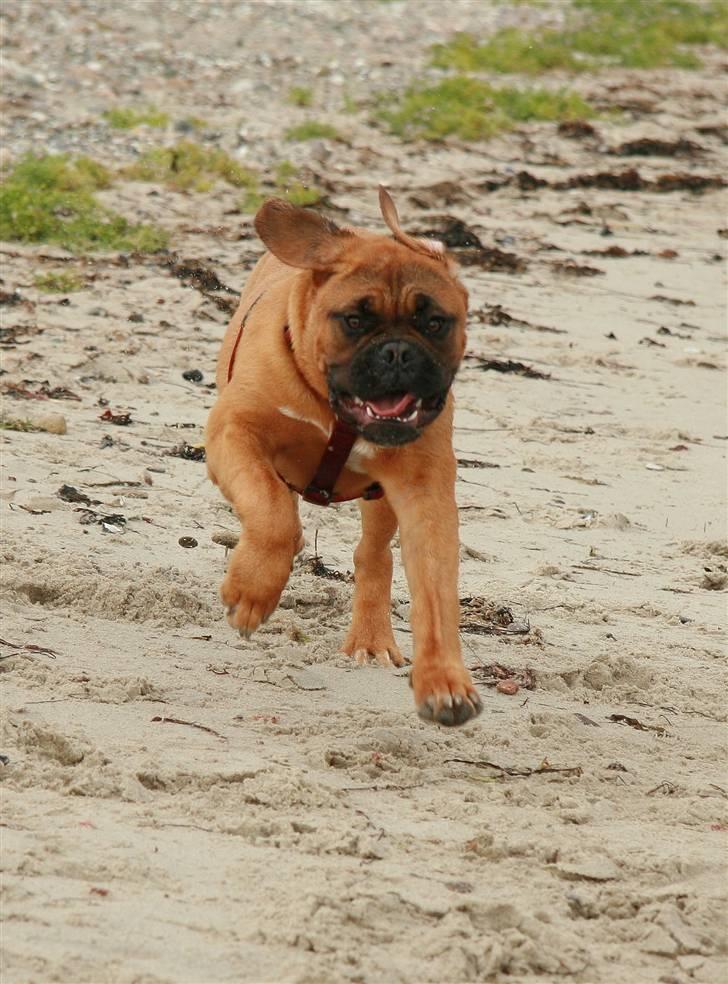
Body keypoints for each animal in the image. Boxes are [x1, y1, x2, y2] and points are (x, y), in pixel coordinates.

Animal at [205, 188, 480, 728]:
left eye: (434, 322)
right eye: (354, 320)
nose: (397, 353)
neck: (337, 413)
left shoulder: (426, 496)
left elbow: (436, 595)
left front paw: (443, 680)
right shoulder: (233, 434)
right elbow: (273, 515)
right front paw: (252, 590)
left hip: (382, 503)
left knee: (373, 555)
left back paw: (371, 640)